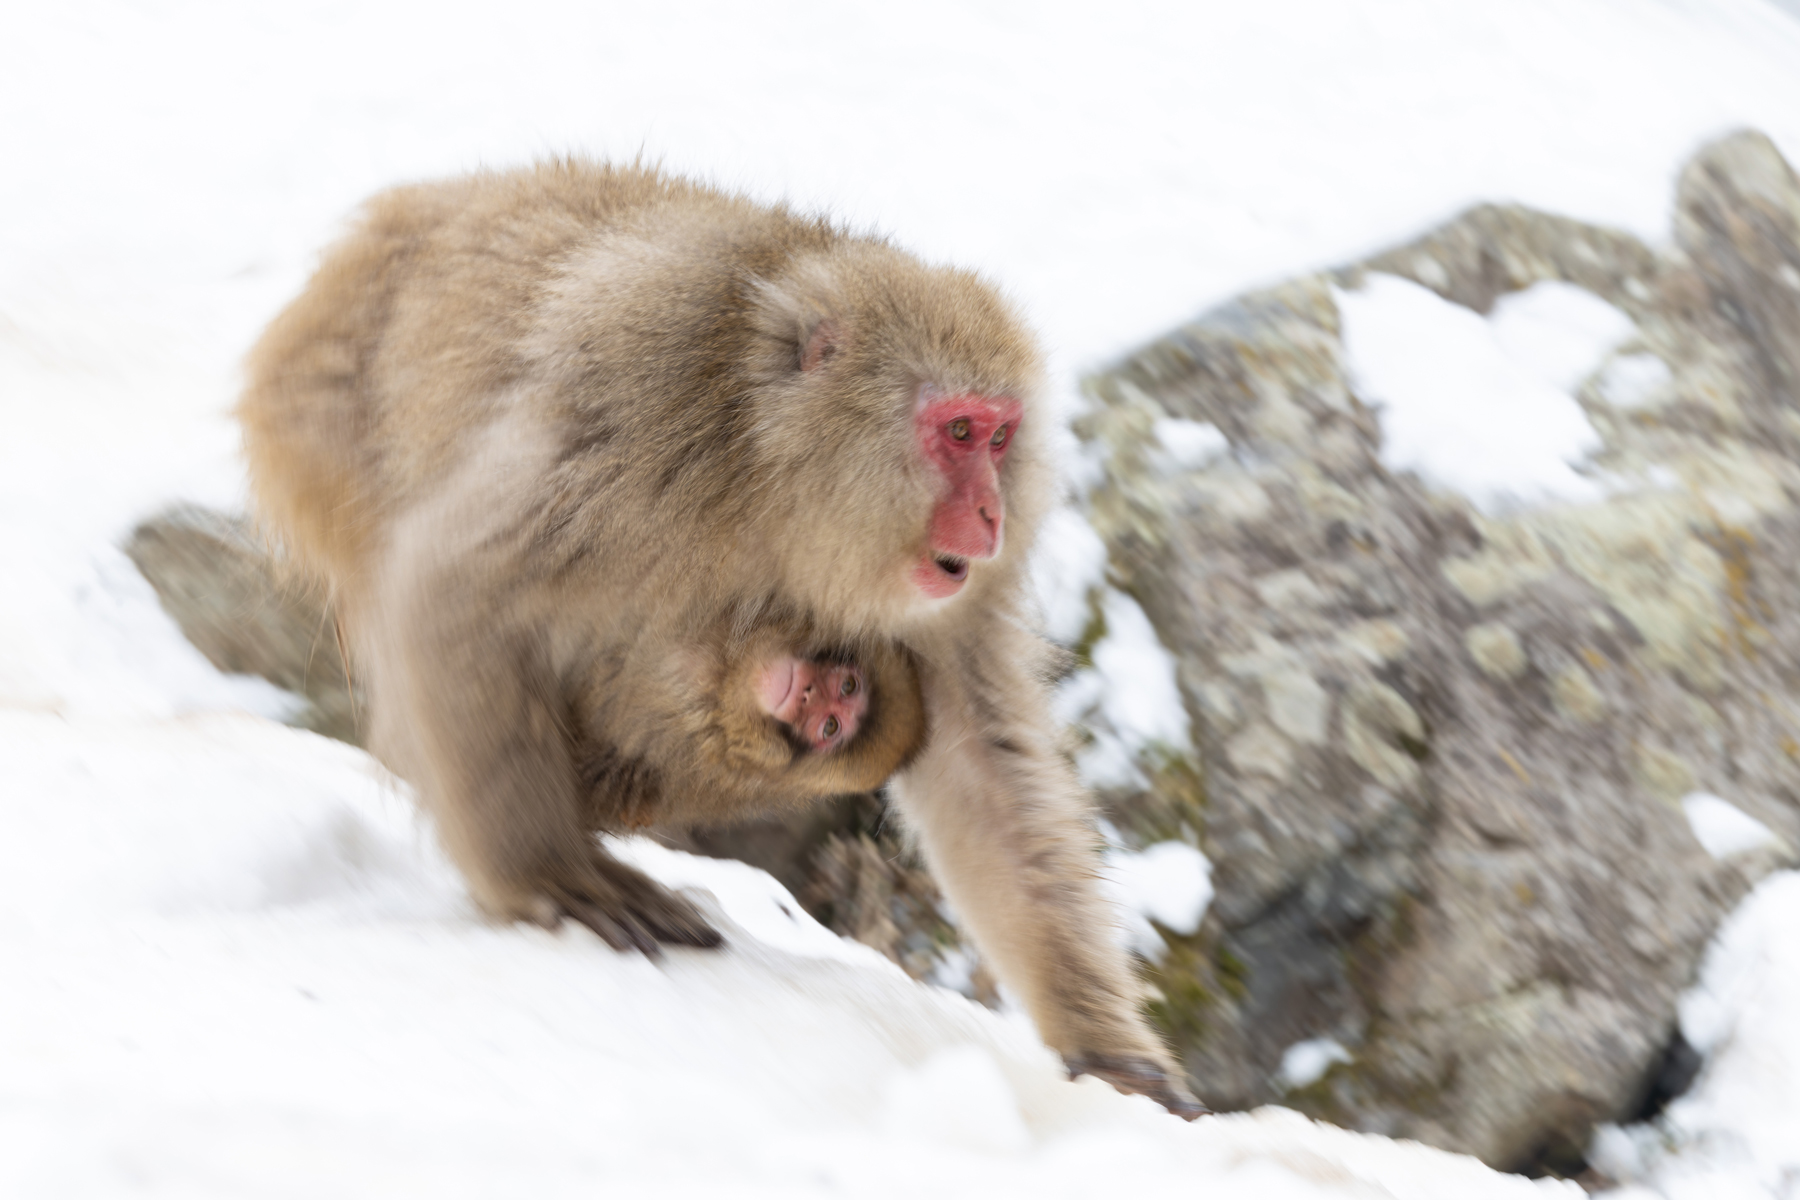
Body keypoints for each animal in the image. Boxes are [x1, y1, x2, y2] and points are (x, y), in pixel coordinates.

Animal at [237, 161, 1205, 1119]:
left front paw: (1109, 1057)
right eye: (958, 431)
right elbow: (455, 588)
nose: (993, 514)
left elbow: (985, 760)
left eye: (1002, 437)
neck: (777, 474)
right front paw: (547, 879)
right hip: (322, 432)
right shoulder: (635, 418)